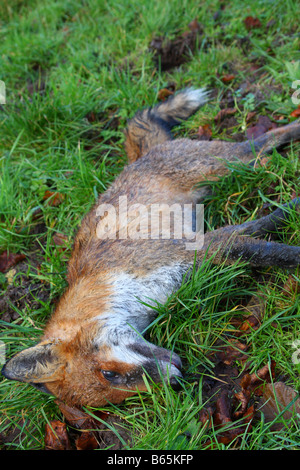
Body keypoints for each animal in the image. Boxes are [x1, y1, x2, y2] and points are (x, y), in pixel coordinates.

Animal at [2, 88, 300, 408]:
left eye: (109, 374)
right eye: (115, 400)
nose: (175, 382)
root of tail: (137, 158)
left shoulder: (193, 247)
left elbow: (275, 251)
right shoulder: (204, 251)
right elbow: (263, 228)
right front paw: (290, 213)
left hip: (225, 162)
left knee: (268, 138)